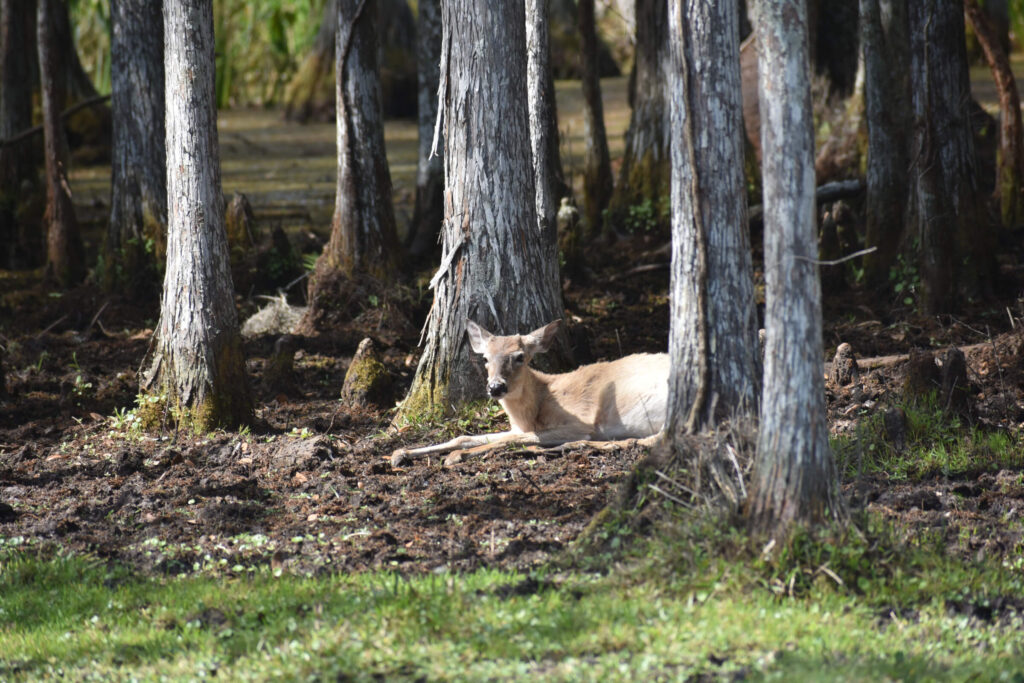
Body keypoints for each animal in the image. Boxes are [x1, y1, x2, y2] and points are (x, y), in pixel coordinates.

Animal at [391, 317, 671, 466]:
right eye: (485, 359)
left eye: (520, 357)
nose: (496, 387)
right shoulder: (518, 427)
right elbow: (463, 437)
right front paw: (399, 453)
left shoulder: (579, 423)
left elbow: (513, 439)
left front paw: (456, 457)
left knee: (651, 439)